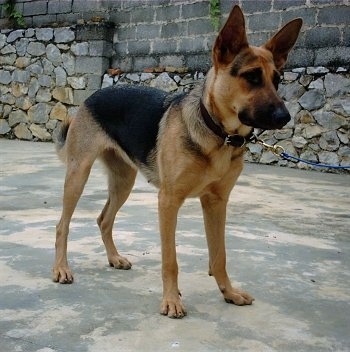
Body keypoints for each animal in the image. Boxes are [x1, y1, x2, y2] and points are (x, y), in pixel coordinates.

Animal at [53, 4, 302, 320]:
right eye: (252, 77)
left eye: (277, 80)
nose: (285, 118)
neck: (217, 133)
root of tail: (94, 94)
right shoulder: (169, 201)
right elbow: (170, 260)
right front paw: (171, 301)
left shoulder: (217, 203)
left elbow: (219, 256)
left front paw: (229, 293)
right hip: (78, 174)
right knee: (62, 224)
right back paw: (61, 269)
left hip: (123, 181)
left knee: (103, 219)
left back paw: (114, 258)